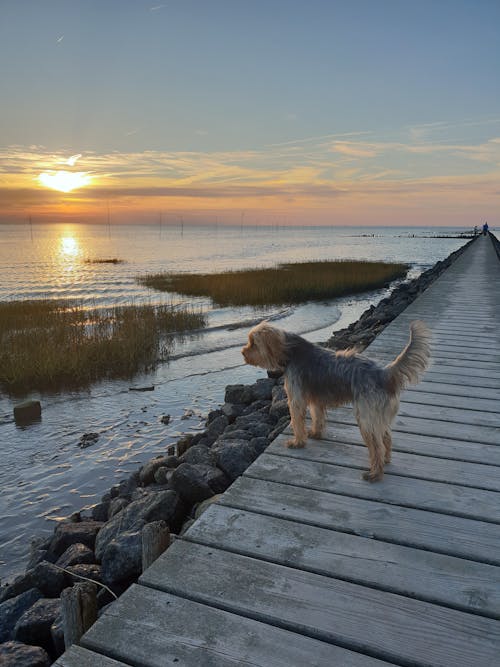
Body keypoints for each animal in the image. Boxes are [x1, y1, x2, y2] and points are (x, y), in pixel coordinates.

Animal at [241, 320, 430, 482]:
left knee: (377, 446)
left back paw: (375, 473)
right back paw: (386, 460)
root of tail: (384, 374)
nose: (243, 353)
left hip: (366, 417)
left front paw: (298, 442)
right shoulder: (315, 400)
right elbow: (317, 417)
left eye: (253, 343)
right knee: (387, 438)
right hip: (378, 415)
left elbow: (297, 422)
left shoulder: (296, 399)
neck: (290, 351)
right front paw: (315, 433)